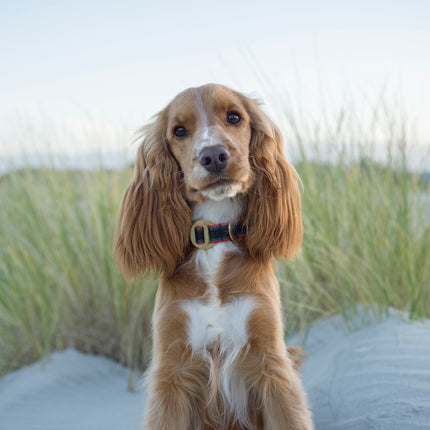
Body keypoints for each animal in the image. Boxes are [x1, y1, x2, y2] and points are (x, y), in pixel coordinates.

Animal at [113, 82, 312, 428]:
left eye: (234, 117)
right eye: (179, 131)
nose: (213, 156)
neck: (214, 242)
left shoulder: (271, 361)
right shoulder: (172, 370)